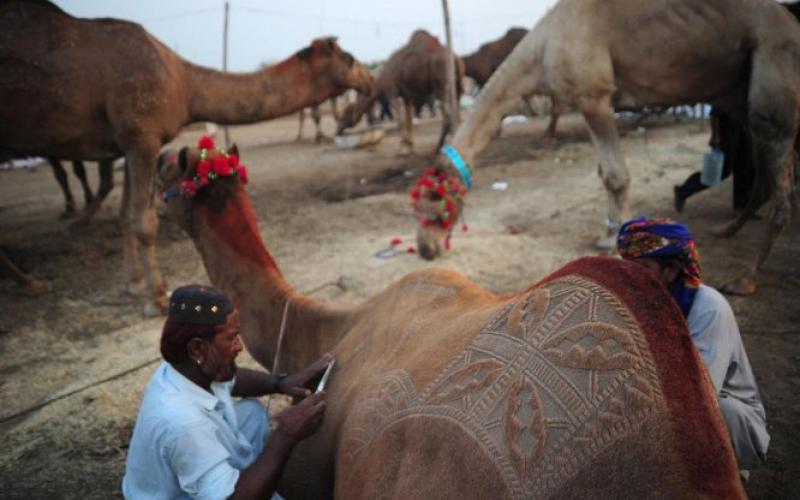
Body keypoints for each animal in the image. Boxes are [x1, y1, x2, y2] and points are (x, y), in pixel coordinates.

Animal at [0, 0, 376, 312]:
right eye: (349, 59)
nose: (371, 81)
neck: (184, 83)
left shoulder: (128, 141)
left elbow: (125, 216)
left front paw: (133, 284)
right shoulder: (141, 136)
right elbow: (144, 221)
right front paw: (156, 297)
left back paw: (32, 283)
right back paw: (33, 282)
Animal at [418, 0, 800, 296]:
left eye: (435, 200)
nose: (424, 249)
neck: (542, 49)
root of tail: (791, 22)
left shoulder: (595, 96)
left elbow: (615, 175)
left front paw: (613, 241)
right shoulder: (587, 100)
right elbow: (604, 172)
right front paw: (607, 232)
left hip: (773, 69)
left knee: (778, 171)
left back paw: (745, 278)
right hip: (739, 91)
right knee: (770, 176)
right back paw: (728, 230)